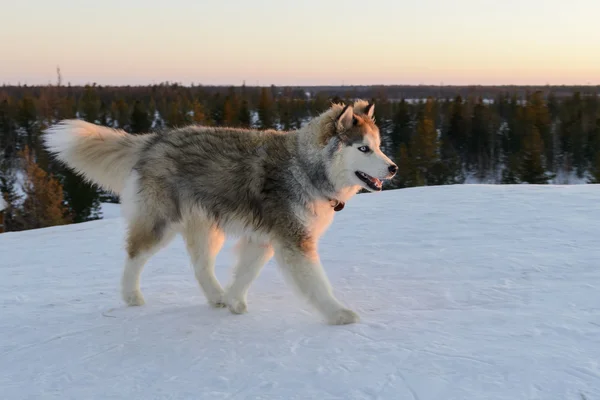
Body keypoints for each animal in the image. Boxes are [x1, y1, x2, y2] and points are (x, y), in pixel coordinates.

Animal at [44, 100, 396, 324]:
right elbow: (318, 284)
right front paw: (337, 314)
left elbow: (245, 273)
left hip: (206, 227)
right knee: (134, 254)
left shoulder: (263, 239)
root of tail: (156, 140)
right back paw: (131, 296)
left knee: (201, 267)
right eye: (363, 148)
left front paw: (234, 302)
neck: (304, 167)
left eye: (378, 146)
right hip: (161, 222)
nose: (393, 168)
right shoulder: (294, 241)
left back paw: (217, 297)